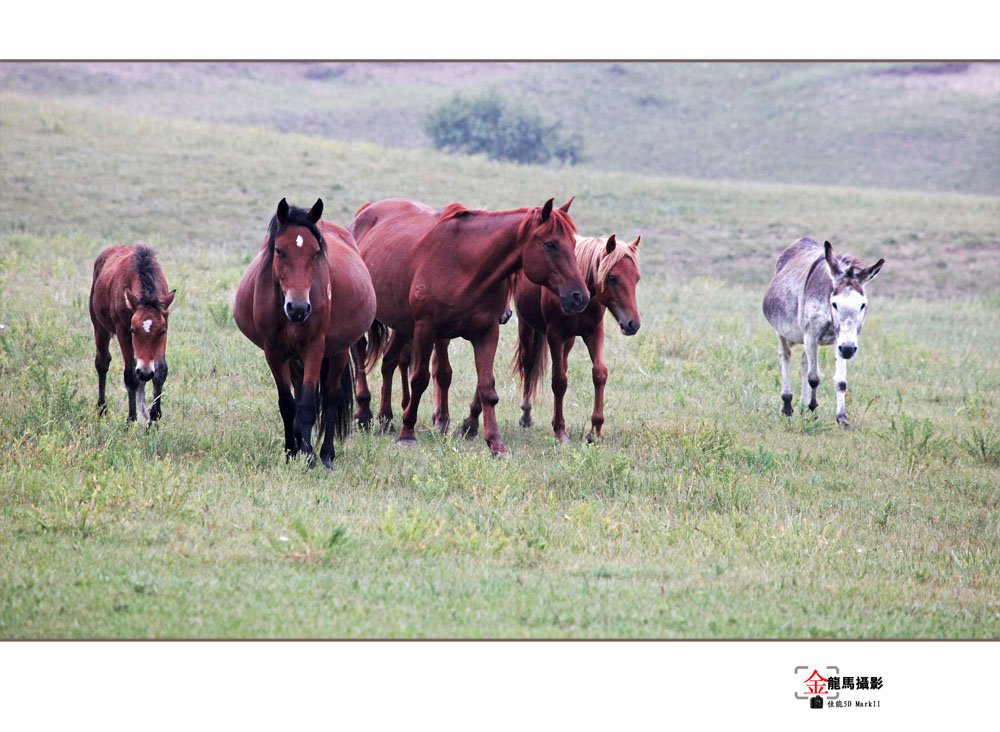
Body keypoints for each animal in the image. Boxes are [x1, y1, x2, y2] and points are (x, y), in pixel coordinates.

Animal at [90, 244, 176, 424]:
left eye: (162, 331)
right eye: (133, 330)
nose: (145, 372)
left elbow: (160, 371)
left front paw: (155, 417)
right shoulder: (122, 330)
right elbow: (130, 375)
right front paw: (131, 419)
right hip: (99, 326)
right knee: (102, 362)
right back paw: (102, 408)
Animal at [236, 197, 376, 466]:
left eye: (315, 252)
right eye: (279, 250)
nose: (299, 308)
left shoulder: (314, 348)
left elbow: (308, 406)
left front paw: (310, 456)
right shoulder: (274, 352)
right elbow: (288, 404)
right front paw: (292, 451)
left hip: (338, 351)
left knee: (331, 397)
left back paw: (326, 454)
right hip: (294, 360)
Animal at [352, 197, 588, 454]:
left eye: (573, 243)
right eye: (550, 244)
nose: (580, 296)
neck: (465, 265)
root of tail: (365, 211)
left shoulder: (486, 332)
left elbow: (487, 387)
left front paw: (495, 443)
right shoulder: (427, 329)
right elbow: (420, 380)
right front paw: (407, 433)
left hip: (403, 325)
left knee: (389, 362)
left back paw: (385, 420)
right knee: (361, 356)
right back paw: (364, 414)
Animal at [512, 234, 644, 440]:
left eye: (636, 278)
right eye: (612, 277)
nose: (633, 324)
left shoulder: (594, 333)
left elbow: (599, 373)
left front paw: (595, 430)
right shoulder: (555, 335)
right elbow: (559, 381)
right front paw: (560, 430)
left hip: (569, 340)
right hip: (527, 327)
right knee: (529, 363)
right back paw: (526, 415)